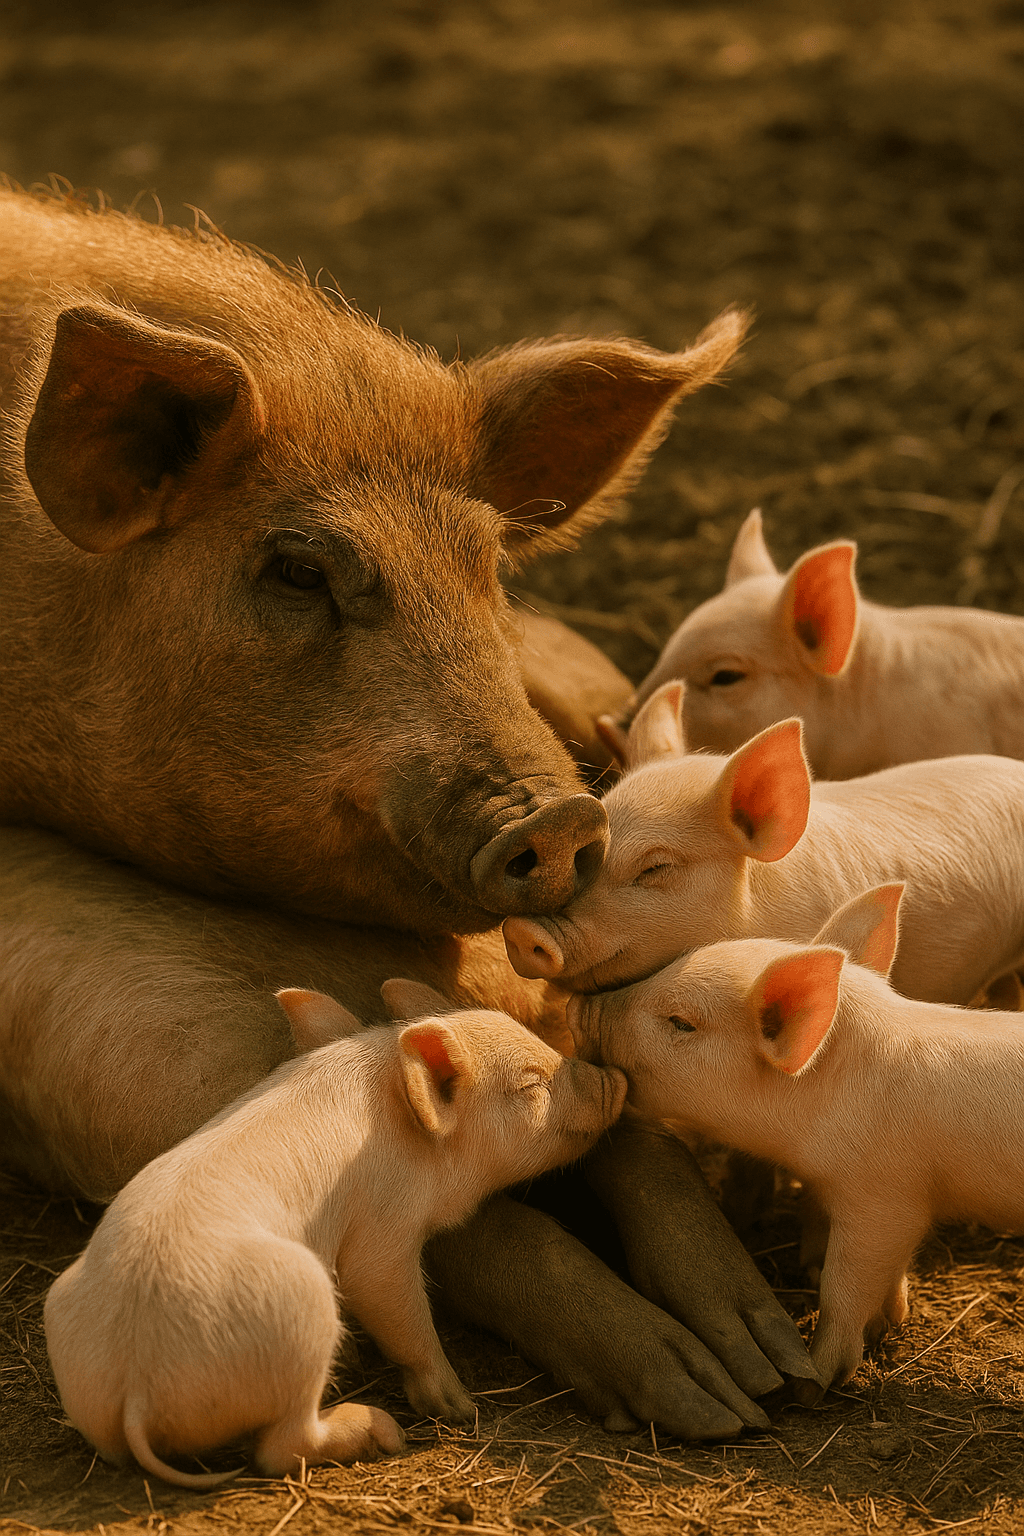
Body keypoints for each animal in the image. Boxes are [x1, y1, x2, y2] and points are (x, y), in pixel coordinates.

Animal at [45, 979, 627, 1486]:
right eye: (530, 1084)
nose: (615, 1078)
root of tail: (135, 1385)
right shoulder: (384, 1226)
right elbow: (390, 1298)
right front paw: (462, 1407)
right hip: (300, 1313)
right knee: (280, 1448)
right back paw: (383, 1432)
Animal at [570, 884, 1024, 1389]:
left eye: (681, 1022)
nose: (577, 1006)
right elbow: (892, 1270)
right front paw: (890, 1321)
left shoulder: (884, 1197)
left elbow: (843, 1285)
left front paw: (817, 1380)